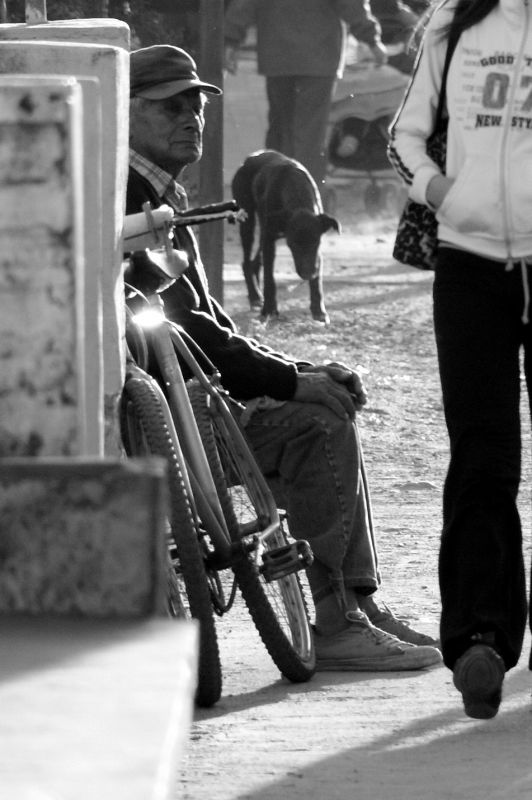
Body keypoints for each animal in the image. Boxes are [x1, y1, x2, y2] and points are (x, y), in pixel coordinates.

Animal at [230, 148, 338, 324]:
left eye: (316, 242)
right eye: (292, 244)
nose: (308, 273)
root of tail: (249, 158)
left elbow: (317, 281)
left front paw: (318, 310)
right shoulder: (269, 240)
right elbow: (269, 278)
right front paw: (269, 309)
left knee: (254, 262)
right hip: (248, 221)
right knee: (246, 261)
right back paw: (255, 296)